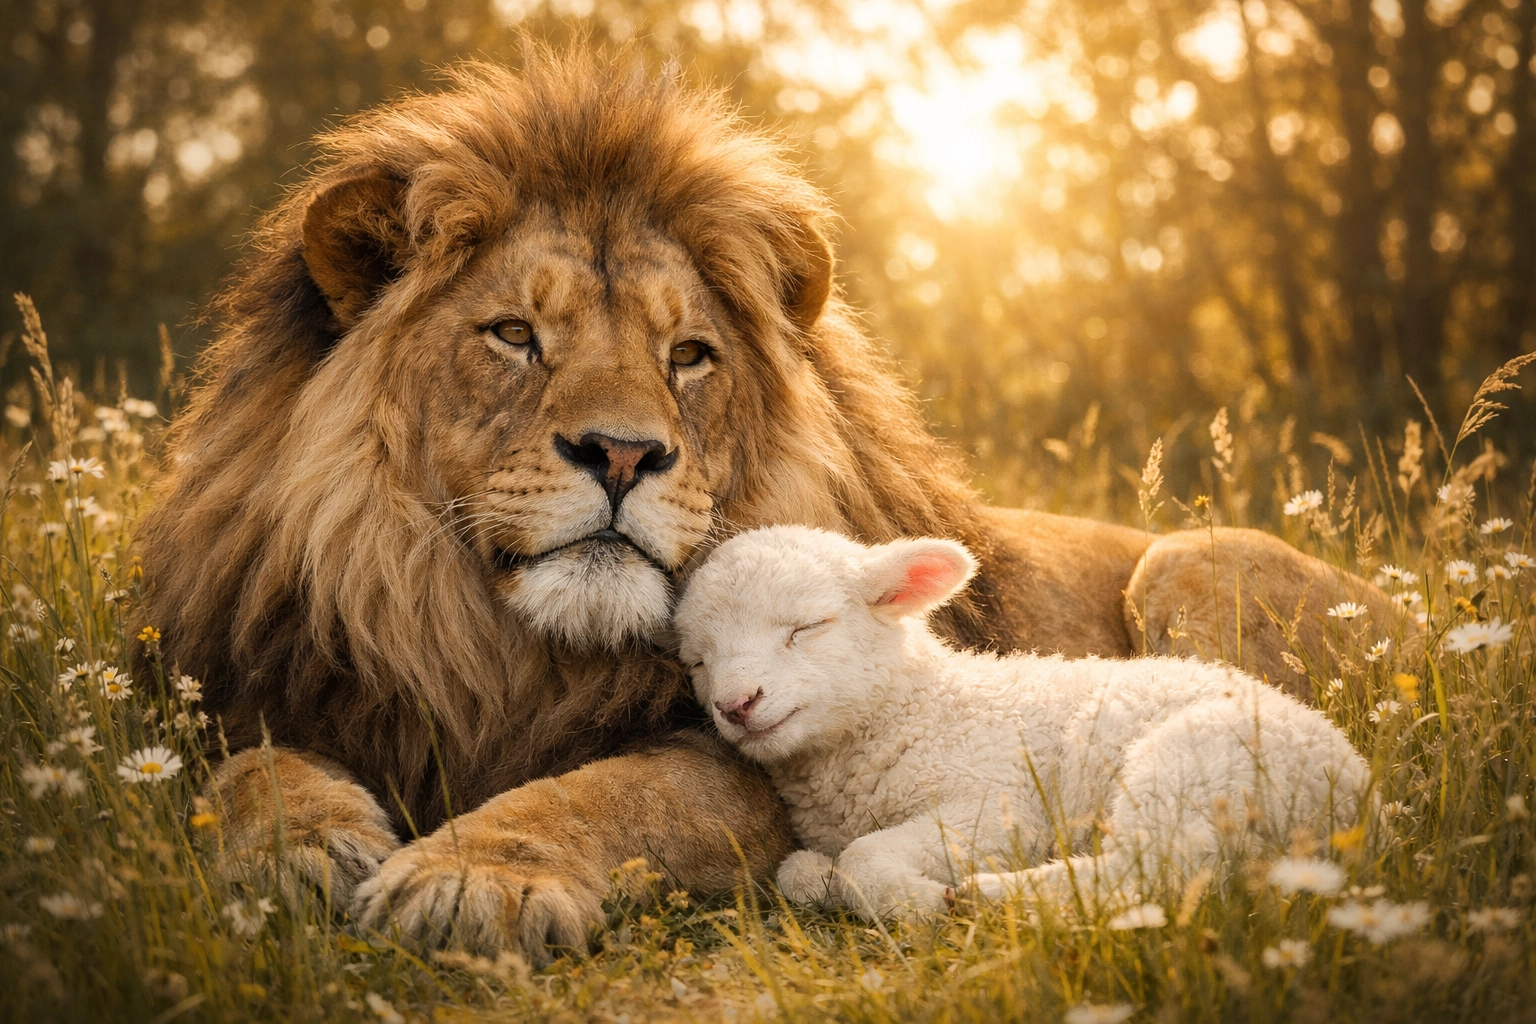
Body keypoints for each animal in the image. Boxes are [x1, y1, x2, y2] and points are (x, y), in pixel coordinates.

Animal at [674, 525, 1370, 921]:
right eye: (697, 661)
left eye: (806, 627)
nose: (736, 705)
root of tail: (1361, 800)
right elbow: (797, 870)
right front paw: (825, 879)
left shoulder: (998, 802)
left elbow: (866, 857)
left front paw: (914, 901)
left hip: (1193, 769)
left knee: (1151, 875)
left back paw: (986, 896)